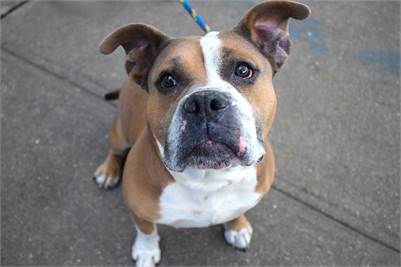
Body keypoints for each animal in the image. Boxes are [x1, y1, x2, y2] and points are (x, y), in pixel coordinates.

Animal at [93, 1, 310, 266]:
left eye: (243, 70)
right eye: (167, 80)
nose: (205, 102)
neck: (209, 178)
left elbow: (238, 210)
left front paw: (237, 227)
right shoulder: (139, 210)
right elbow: (146, 230)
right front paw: (146, 251)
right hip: (120, 133)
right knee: (114, 150)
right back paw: (108, 171)